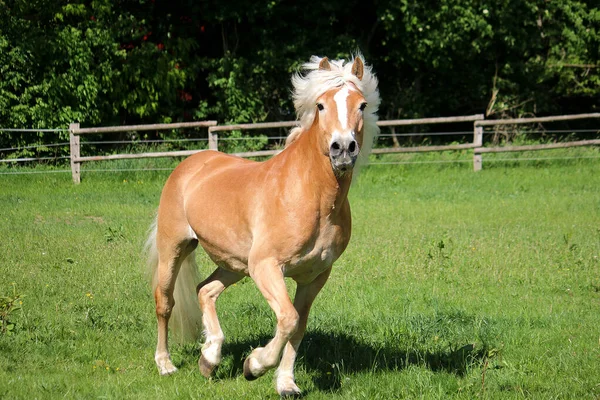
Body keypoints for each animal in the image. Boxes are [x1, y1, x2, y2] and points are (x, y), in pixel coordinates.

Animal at [146, 54, 380, 396]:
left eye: (361, 105)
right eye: (321, 105)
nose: (343, 149)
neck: (309, 195)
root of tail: (191, 164)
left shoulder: (314, 276)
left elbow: (298, 325)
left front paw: (286, 383)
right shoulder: (267, 266)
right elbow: (288, 319)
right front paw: (254, 365)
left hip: (234, 263)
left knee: (205, 291)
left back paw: (210, 359)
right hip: (174, 248)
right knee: (165, 302)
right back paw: (165, 364)